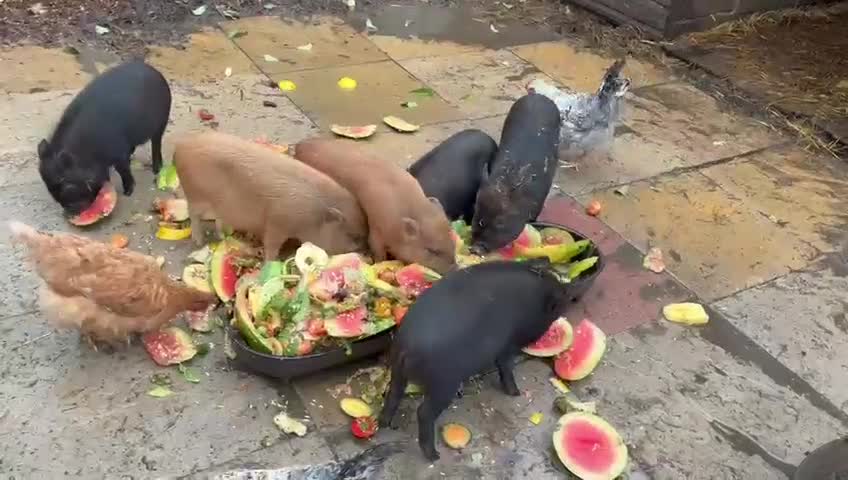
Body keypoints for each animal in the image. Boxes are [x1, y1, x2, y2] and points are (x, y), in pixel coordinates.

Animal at [37, 61, 172, 215]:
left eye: (64, 182)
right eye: (50, 187)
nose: (72, 212)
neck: (87, 149)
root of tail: (156, 72)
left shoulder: (118, 152)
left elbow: (123, 170)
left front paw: (128, 192)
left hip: (162, 121)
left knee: (156, 143)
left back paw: (156, 169)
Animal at [173, 132, 369, 261]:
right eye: (354, 236)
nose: (365, 256)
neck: (313, 215)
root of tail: (180, 146)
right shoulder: (276, 224)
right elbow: (271, 246)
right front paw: (271, 262)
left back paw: (223, 236)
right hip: (196, 195)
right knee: (194, 216)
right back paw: (199, 241)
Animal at [293, 138, 456, 274]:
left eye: (452, 241)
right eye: (432, 250)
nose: (456, 268)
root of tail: (300, 144)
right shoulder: (375, 228)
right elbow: (378, 250)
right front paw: (378, 263)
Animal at [379, 259, 582, 461]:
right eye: (560, 301)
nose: (571, 291)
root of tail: (407, 345)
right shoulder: (506, 346)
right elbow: (506, 368)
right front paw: (516, 393)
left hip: (398, 371)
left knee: (392, 395)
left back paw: (386, 424)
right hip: (443, 383)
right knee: (423, 413)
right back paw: (434, 456)